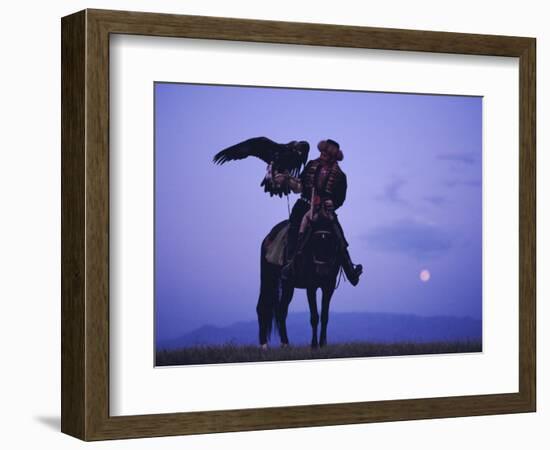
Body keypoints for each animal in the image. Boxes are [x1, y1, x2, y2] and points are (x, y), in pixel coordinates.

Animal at [256, 216, 342, 350]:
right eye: (314, 241)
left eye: (331, 240)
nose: (322, 271)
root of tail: (267, 238)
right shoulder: (311, 286)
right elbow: (314, 316)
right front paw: (314, 345)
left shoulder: (329, 286)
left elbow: (324, 316)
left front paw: (322, 344)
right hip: (268, 279)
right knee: (261, 307)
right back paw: (264, 344)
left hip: (288, 286)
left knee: (281, 311)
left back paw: (285, 343)